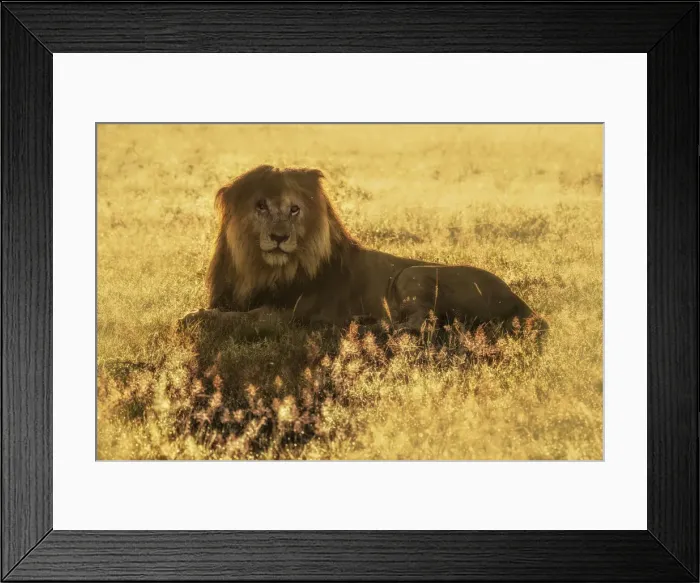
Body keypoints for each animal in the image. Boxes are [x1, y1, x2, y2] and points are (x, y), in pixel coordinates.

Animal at [179, 165, 548, 339]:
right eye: (261, 206)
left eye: (295, 209)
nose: (280, 237)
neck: (261, 269)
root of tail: (524, 304)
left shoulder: (285, 315)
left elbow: (245, 318)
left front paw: (193, 318)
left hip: (411, 273)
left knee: (423, 324)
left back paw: (368, 326)